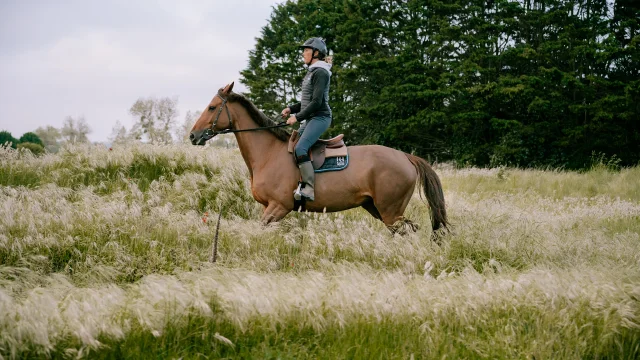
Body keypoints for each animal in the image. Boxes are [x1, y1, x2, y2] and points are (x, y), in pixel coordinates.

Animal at [191, 82, 450, 235]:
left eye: (212, 107)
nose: (193, 135)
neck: (268, 154)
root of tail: (406, 157)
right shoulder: (270, 208)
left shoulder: (278, 207)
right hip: (378, 208)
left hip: (390, 210)